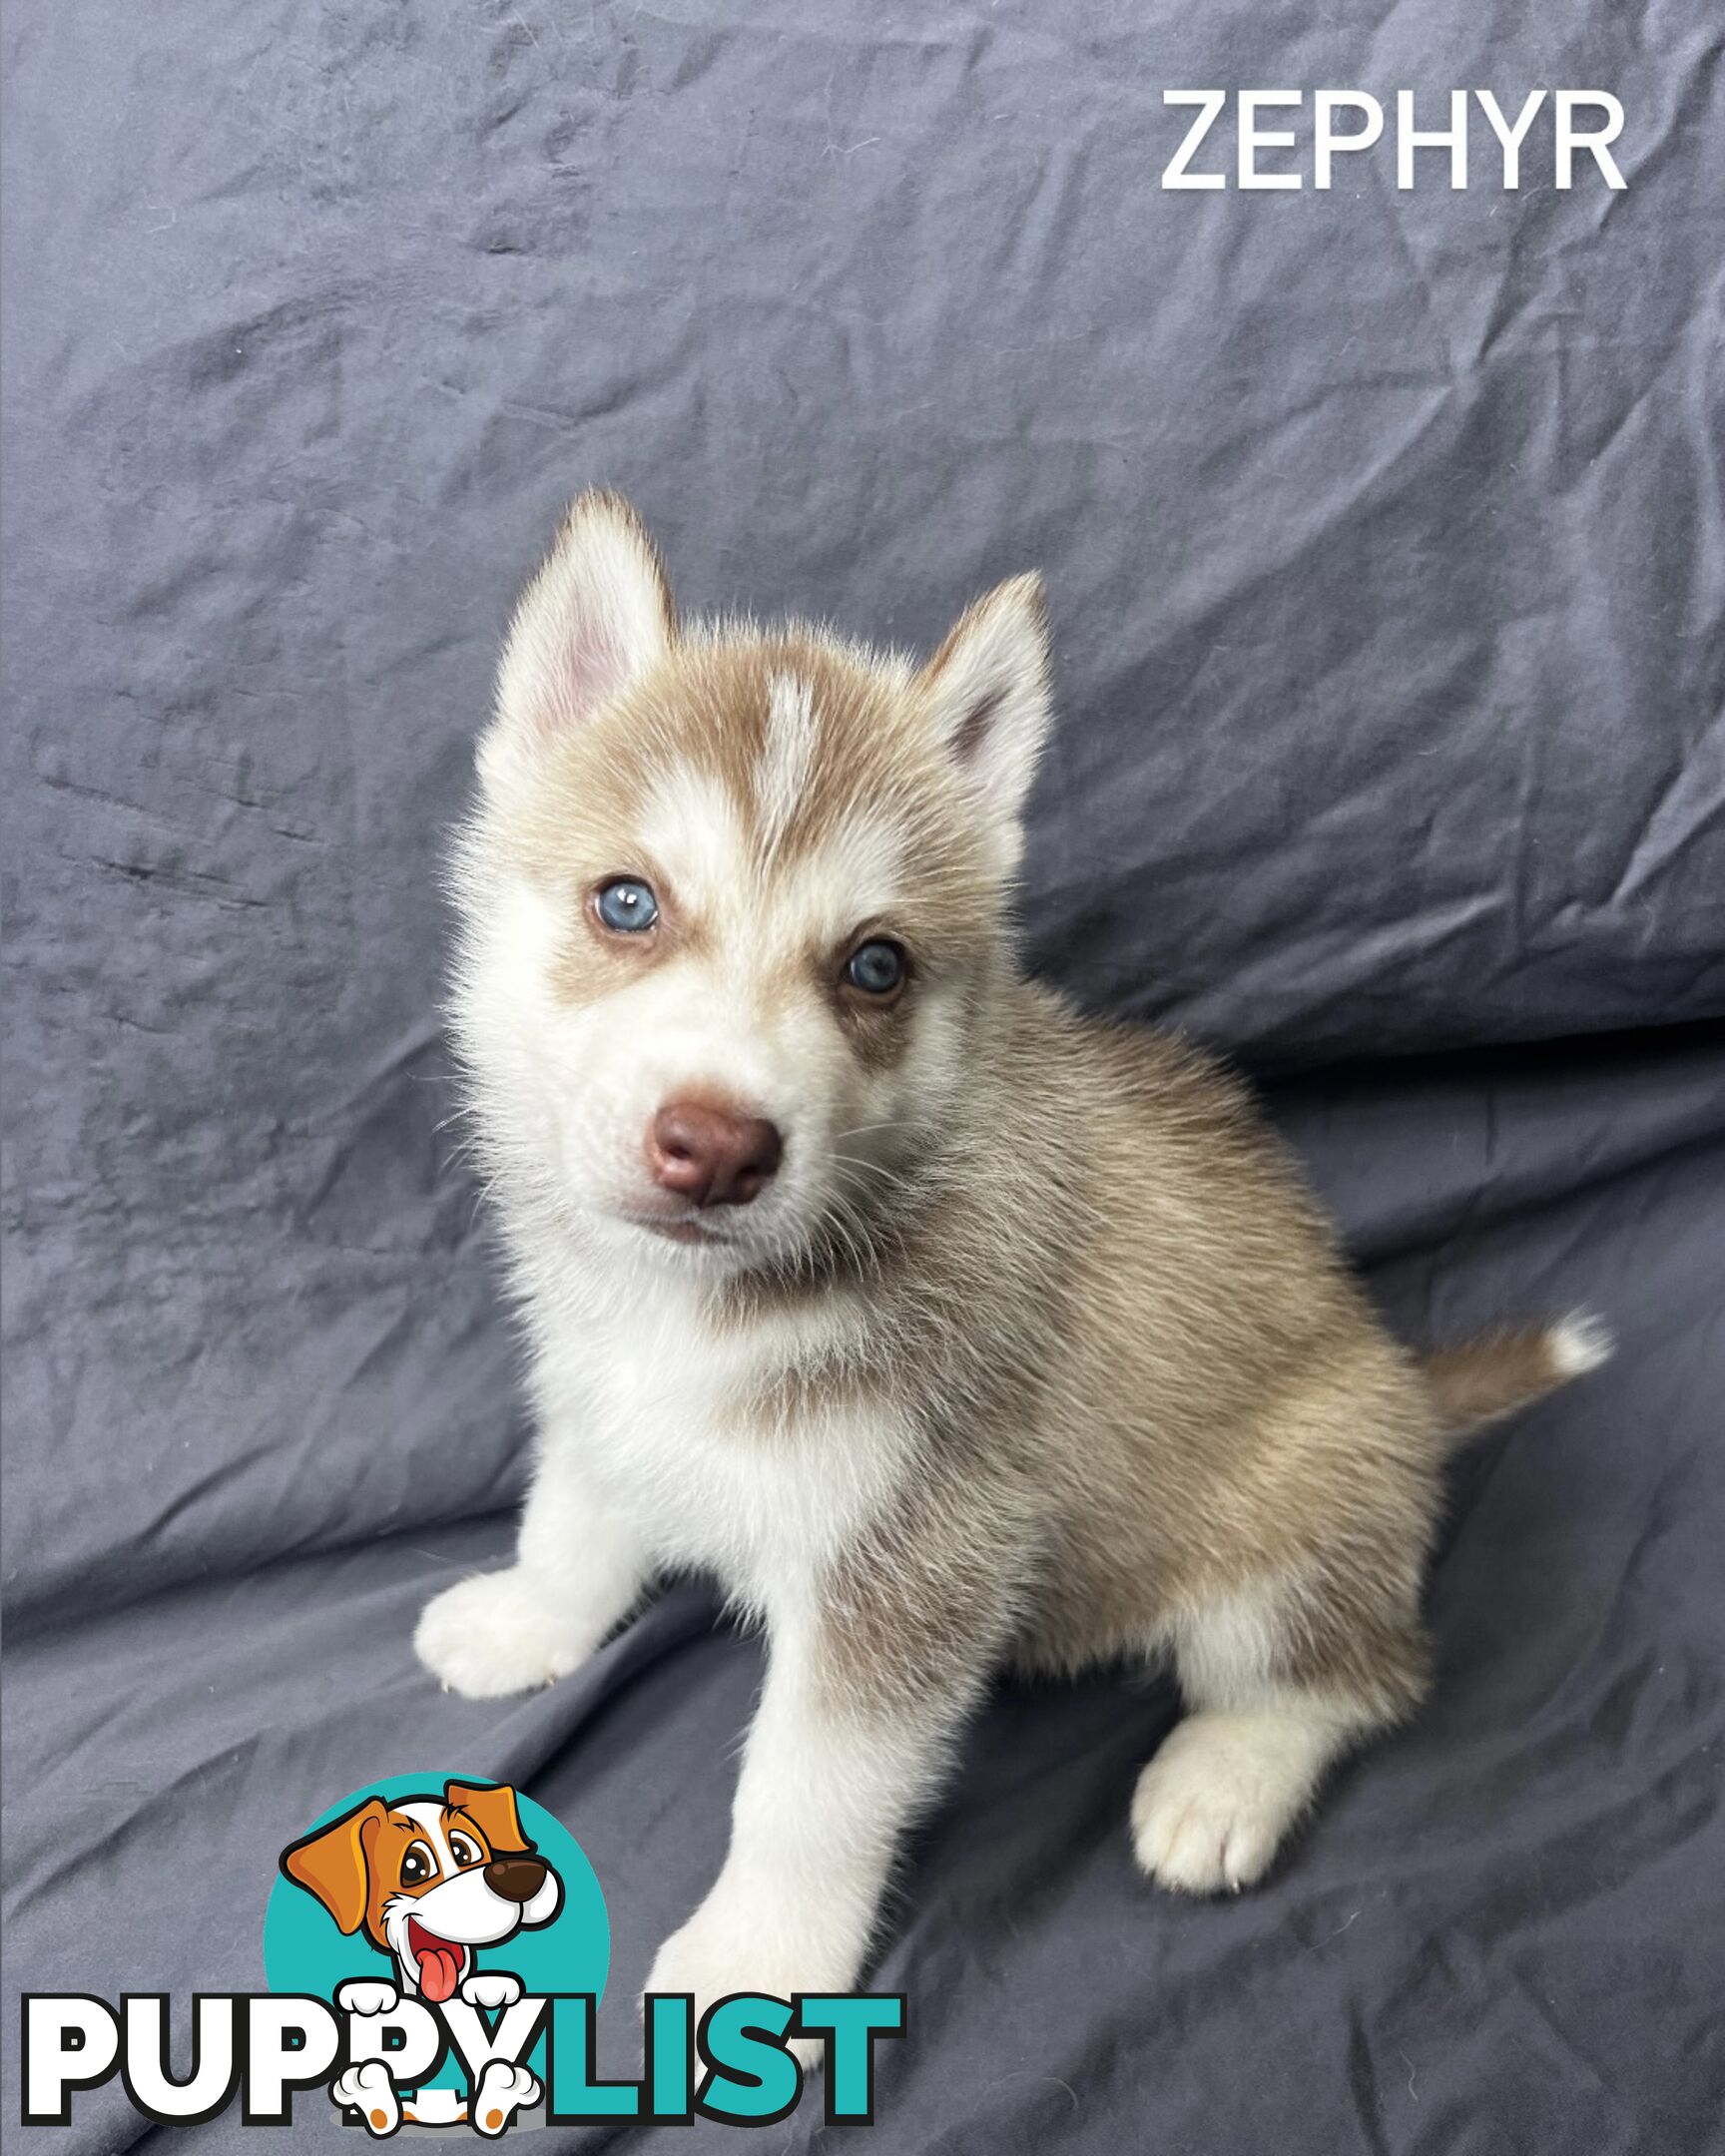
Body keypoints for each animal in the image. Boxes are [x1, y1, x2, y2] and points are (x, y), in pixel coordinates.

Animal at [413, 493, 1604, 2017]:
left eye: (875, 967)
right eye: (627, 903)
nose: (719, 1146)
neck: (701, 1305)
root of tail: (1398, 1379)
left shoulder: (914, 1557)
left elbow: (807, 1790)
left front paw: (763, 1961)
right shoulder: (600, 1390)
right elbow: (577, 1514)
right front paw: (529, 1620)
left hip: (1291, 1523)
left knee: (1349, 1677)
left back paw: (1222, 1780)